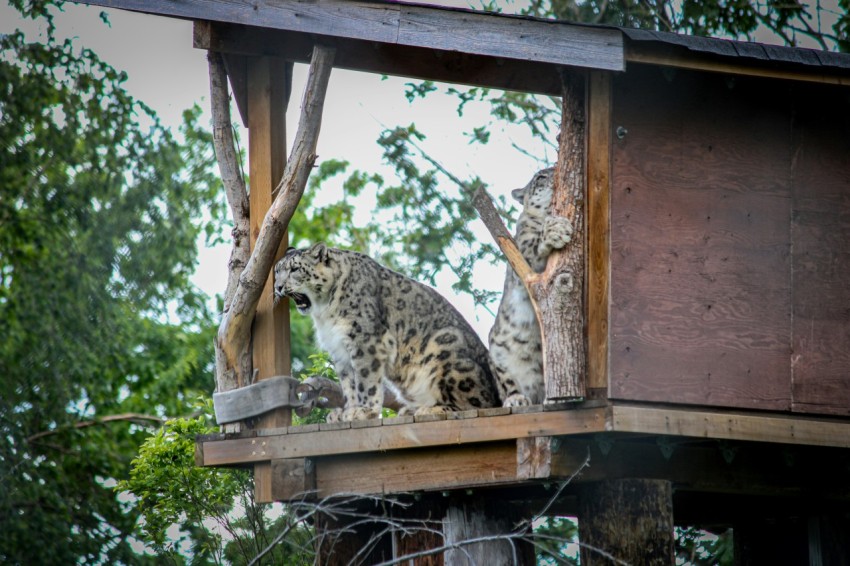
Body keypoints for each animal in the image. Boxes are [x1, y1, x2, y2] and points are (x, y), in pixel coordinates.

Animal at [272, 244, 500, 422]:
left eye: (294, 269)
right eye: (276, 271)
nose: (278, 287)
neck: (324, 311)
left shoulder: (364, 340)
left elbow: (366, 380)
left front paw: (364, 411)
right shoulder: (339, 349)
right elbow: (349, 384)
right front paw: (346, 412)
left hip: (446, 351)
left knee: (480, 403)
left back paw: (429, 409)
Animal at [486, 169, 572, 408]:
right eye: (540, 177)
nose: (554, 174)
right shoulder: (523, 253)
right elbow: (533, 247)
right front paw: (556, 229)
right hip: (497, 353)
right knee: (506, 381)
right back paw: (515, 399)